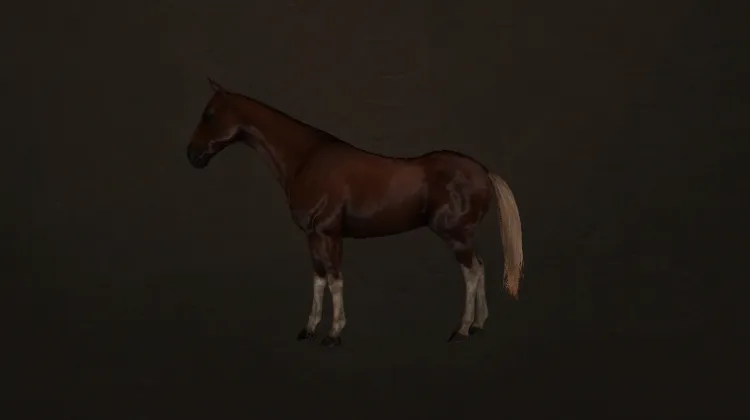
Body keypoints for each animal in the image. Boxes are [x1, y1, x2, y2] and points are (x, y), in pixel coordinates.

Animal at [186, 78, 524, 347]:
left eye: (209, 114)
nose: (192, 155)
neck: (307, 159)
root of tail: (483, 171)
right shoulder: (313, 236)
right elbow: (319, 278)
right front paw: (309, 329)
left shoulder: (329, 233)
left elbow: (335, 280)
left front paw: (334, 334)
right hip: (462, 236)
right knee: (480, 267)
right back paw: (478, 325)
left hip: (455, 235)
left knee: (472, 272)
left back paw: (462, 329)